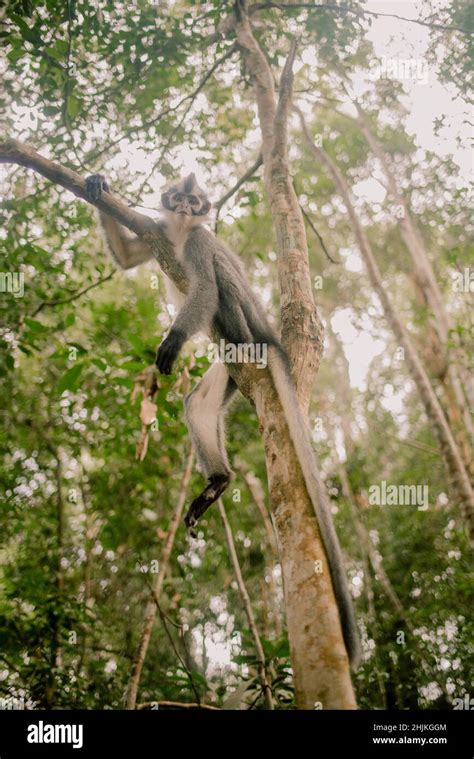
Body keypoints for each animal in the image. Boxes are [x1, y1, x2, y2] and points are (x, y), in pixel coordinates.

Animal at [84, 172, 360, 672]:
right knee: (197, 406)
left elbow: (206, 289)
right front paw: (96, 184)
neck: (178, 233)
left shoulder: (196, 242)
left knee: (220, 281)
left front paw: (173, 339)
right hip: (230, 374)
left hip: (243, 326)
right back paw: (218, 482)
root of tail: (266, 334)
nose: (187, 207)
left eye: (196, 202)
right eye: (180, 197)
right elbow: (128, 259)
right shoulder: (157, 231)